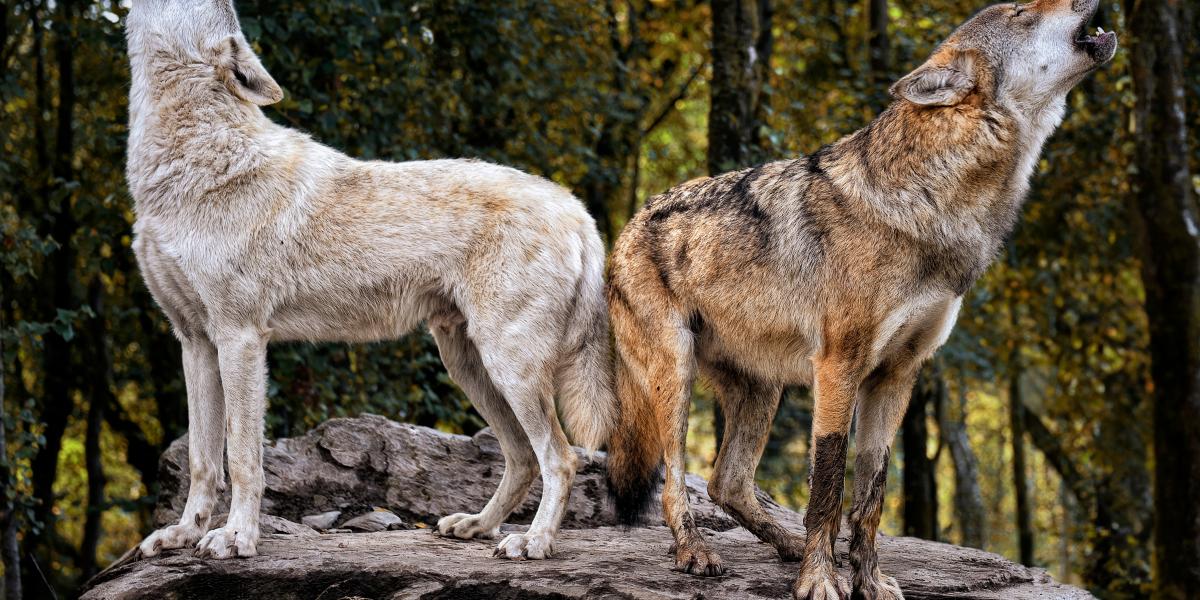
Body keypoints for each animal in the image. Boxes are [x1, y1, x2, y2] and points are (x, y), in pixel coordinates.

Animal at [129, 0, 619, 561]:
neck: (192, 160)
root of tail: (578, 210)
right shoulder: (194, 342)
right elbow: (203, 461)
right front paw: (182, 535)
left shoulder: (240, 338)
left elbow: (243, 460)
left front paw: (235, 538)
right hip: (469, 366)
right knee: (520, 458)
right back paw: (478, 526)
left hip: (509, 367)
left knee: (560, 457)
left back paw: (532, 542)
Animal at [609, 2, 1113, 597]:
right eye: (1019, 12)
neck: (933, 201)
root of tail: (626, 226)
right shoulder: (839, 366)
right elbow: (828, 485)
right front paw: (821, 580)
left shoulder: (899, 373)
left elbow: (871, 491)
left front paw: (868, 581)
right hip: (677, 376)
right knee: (674, 481)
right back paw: (696, 553)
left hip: (763, 392)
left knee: (725, 483)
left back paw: (785, 546)